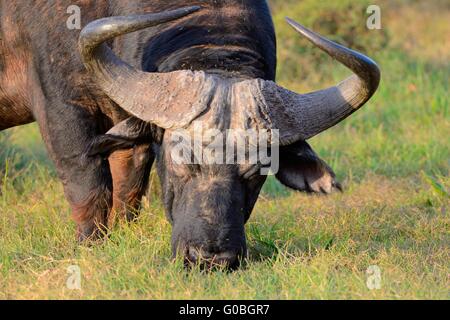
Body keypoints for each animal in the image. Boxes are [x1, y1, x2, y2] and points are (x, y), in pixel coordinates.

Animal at [0, 1, 380, 268]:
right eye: (180, 161)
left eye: (257, 172)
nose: (210, 259)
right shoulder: (62, 106)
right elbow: (90, 189)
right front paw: (90, 246)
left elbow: (128, 191)